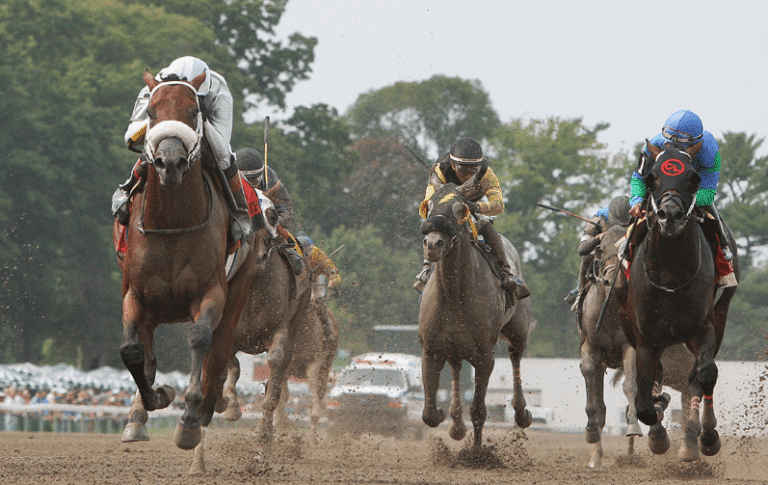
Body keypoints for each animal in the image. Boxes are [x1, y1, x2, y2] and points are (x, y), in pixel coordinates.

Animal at [114, 69, 261, 456]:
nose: (170, 162)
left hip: (239, 290)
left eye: (194, 113)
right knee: (148, 353)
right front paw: (158, 396)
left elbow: (200, 339)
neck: (172, 223)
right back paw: (137, 417)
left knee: (219, 351)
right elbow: (132, 351)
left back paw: (208, 409)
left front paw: (189, 419)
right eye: (150, 112)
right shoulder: (135, 294)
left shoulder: (211, 291)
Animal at [418, 165, 534, 448]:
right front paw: (446, 417)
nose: (433, 244)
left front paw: (478, 452)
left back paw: (521, 412)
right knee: (457, 368)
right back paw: (456, 423)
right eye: (429, 205)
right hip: (455, 348)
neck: (454, 294)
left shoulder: (484, 356)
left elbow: (479, 410)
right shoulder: (431, 350)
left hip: (518, 330)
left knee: (515, 356)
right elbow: (429, 414)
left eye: (460, 209)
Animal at [578, 224, 694, 468]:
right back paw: (599, 457)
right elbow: (591, 379)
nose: (611, 279)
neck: (610, 312)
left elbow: (631, 386)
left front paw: (636, 428)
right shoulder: (591, 347)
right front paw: (591, 431)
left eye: (626, 249)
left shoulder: (630, 348)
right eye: (600, 249)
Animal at [622, 142, 740, 462]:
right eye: (651, 178)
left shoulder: (703, 328)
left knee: (699, 376)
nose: (670, 215)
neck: (672, 274)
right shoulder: (646, 339)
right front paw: (658, 435)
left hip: (720, 315)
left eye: (693, 178)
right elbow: (645, 405)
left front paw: (707, 436)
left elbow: (705, 373)